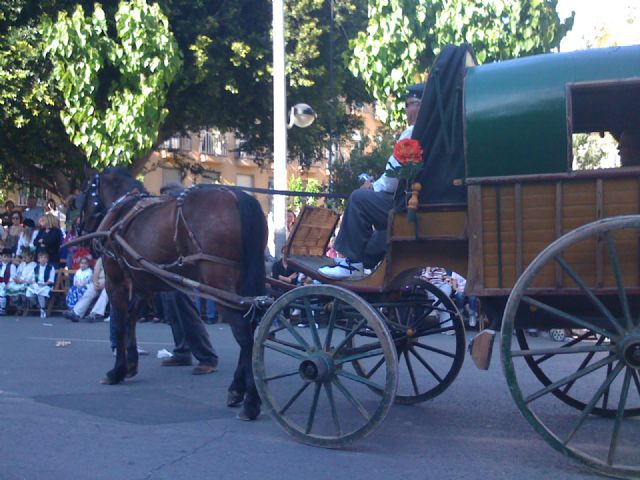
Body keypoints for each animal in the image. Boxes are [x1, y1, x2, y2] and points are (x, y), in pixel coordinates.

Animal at [78, 168, 268, 420]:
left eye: (83, 194)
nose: (81, 231)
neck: (123, 210)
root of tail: (238, 197)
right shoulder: (143, 283)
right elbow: (130, 320)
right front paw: (130, 364)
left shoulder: (115, 279)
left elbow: (119, 324)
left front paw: (117, 371)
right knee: (253, 329)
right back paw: (237, 389)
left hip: (219, 282)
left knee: (245, 336)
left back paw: (251, 401)